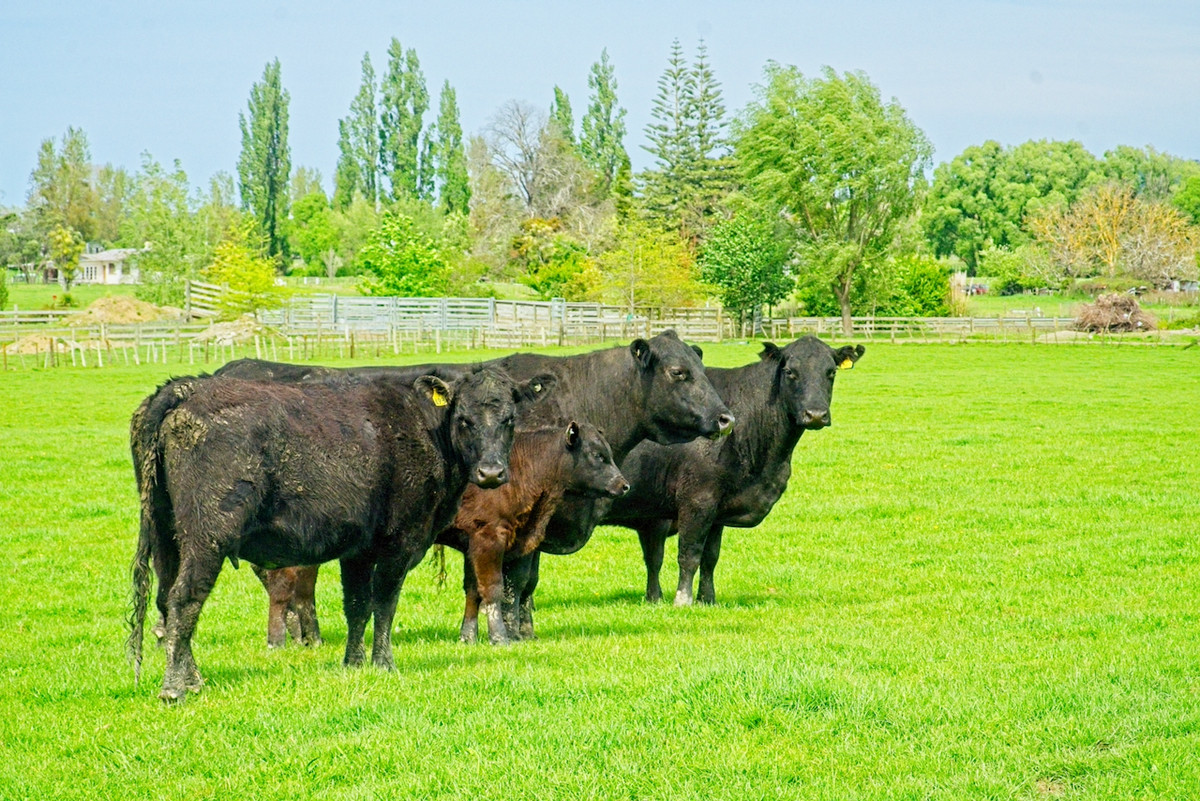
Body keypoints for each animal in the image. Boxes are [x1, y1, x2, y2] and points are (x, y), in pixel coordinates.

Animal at [127, 366, 544, 700]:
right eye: (464, 420)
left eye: (509, 419)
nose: (491, 472)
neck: (424, 429)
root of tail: (186, 387)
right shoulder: (400, 541)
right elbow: (385, 603)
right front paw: (384, 663)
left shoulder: (357, 548)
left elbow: (357, 605)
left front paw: (353, 663)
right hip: (207, 534)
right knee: (185, 599)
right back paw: (175, 687)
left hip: (166, 535)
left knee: (166, 601)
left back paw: (192, 678)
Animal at [604, 338, 868, 606]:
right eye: (790, 372)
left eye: (831, 372)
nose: (815, 414)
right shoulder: (697, 499)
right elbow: (689, 554)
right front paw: (683, 600)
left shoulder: (717, 510)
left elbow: (710, 557)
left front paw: (707, 599)